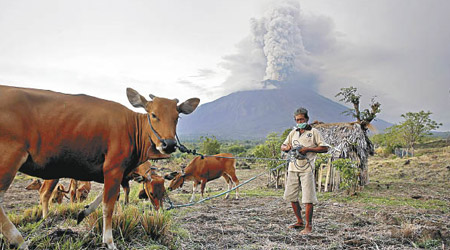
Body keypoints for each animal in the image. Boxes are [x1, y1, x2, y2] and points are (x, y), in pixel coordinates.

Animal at [0, 85, 198, 249]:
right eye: (153, 115)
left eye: (177, 117)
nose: (169, 144)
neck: (132, 128)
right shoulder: (114, 168)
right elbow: (108, 204)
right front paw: (109, 241)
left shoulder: (114, 173)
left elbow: (108, 197)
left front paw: (83, 212)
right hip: (9, 160)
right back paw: (19, 240)